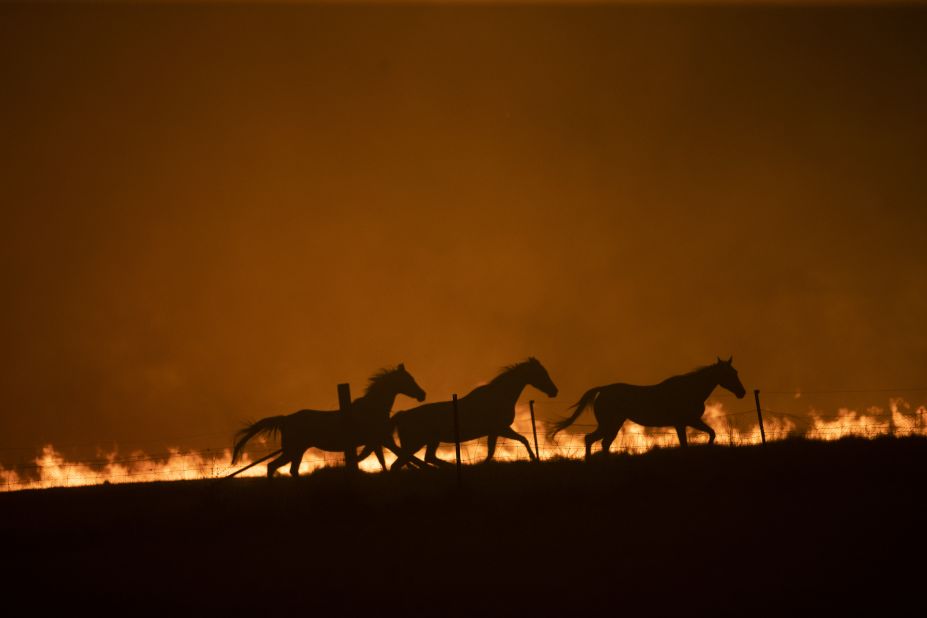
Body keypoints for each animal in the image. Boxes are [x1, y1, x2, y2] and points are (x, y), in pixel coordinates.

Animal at [230, 364, 426, 474]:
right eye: (408, 379)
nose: (422, 394)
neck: (372, 409)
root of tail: (286, 419)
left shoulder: (376, 442)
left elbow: (383, 461)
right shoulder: (380, 440)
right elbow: (395, 457)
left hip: (298, 451)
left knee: (291, 470)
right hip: (292, 450)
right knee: (272, 466)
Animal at [390, 356, 560, 466]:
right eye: (541, 373)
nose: (554, 391)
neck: (499, 396)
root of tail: (402, 415)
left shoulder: (495, 431)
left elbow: (499, 448)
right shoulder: (500, 428)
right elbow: (520, 441)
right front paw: (534, 458)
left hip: (429, 442)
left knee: (426, 459)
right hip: (415, 444)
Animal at [552, 356, 748, 458]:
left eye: (736, 372)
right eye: (729, 374)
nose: (742, 392)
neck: (688, 389)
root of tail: (603, 390)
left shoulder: (689, 421)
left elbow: (711, 433)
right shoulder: (684, 422)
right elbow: (689, 443)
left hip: (613, 424)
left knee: (601, 442)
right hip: (609, 424)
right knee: (591, 440)